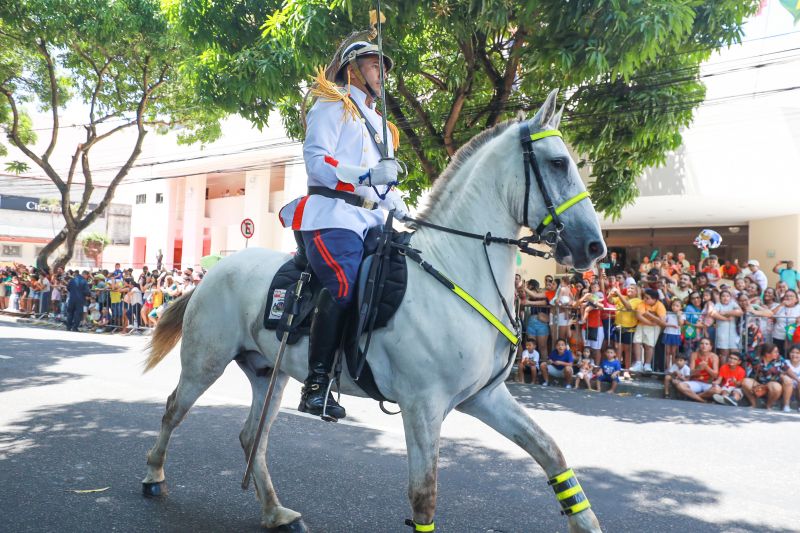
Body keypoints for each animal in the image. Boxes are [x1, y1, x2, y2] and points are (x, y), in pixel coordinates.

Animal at [144, 89, 604, 528]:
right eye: (559, 162)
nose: (594, 247)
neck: (457, 266)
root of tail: (211, 273)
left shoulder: (484, 397)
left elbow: (550, 452)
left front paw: (586, 522)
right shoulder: (422, 406)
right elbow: (424, 496)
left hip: (267, 374)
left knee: (249, 437)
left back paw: (275, 512)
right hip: (205, 363)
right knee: (172, 409)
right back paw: (154, 476)